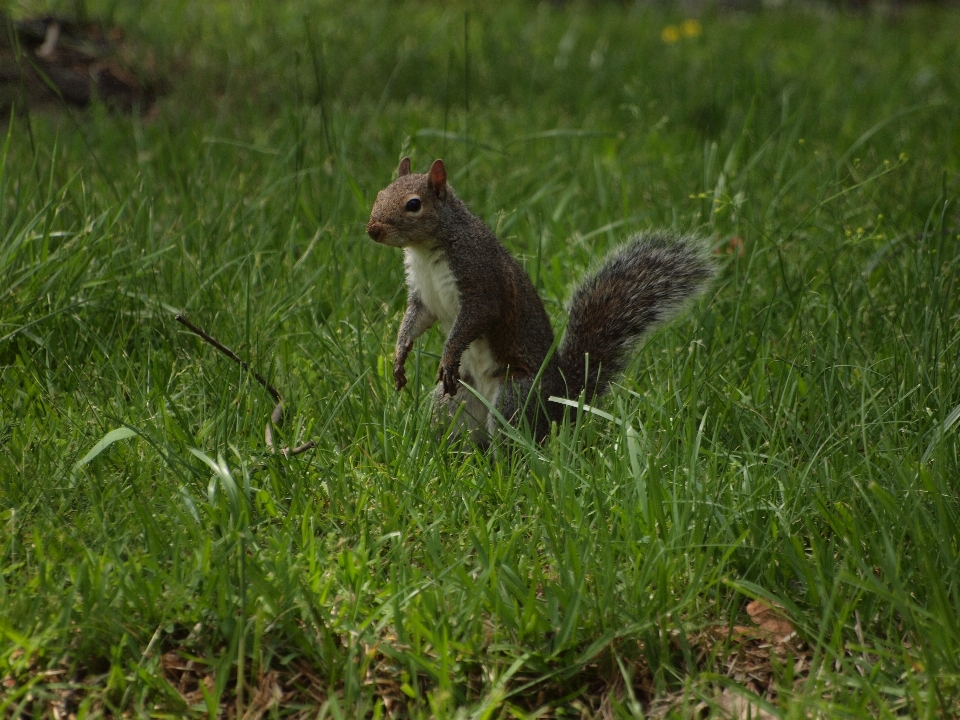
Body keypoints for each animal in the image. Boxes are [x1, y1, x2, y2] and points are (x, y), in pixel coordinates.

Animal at [368, 158, 712, 442]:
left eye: (414, 204)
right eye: (380, 193)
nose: (372, 230)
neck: (425, 251)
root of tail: (558, 404)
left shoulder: (481, 280)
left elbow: (475, 319)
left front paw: (448, 355)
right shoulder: (423, 297)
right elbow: (414, 321)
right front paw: (399, 356)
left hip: (514, 398)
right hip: (451, 401)